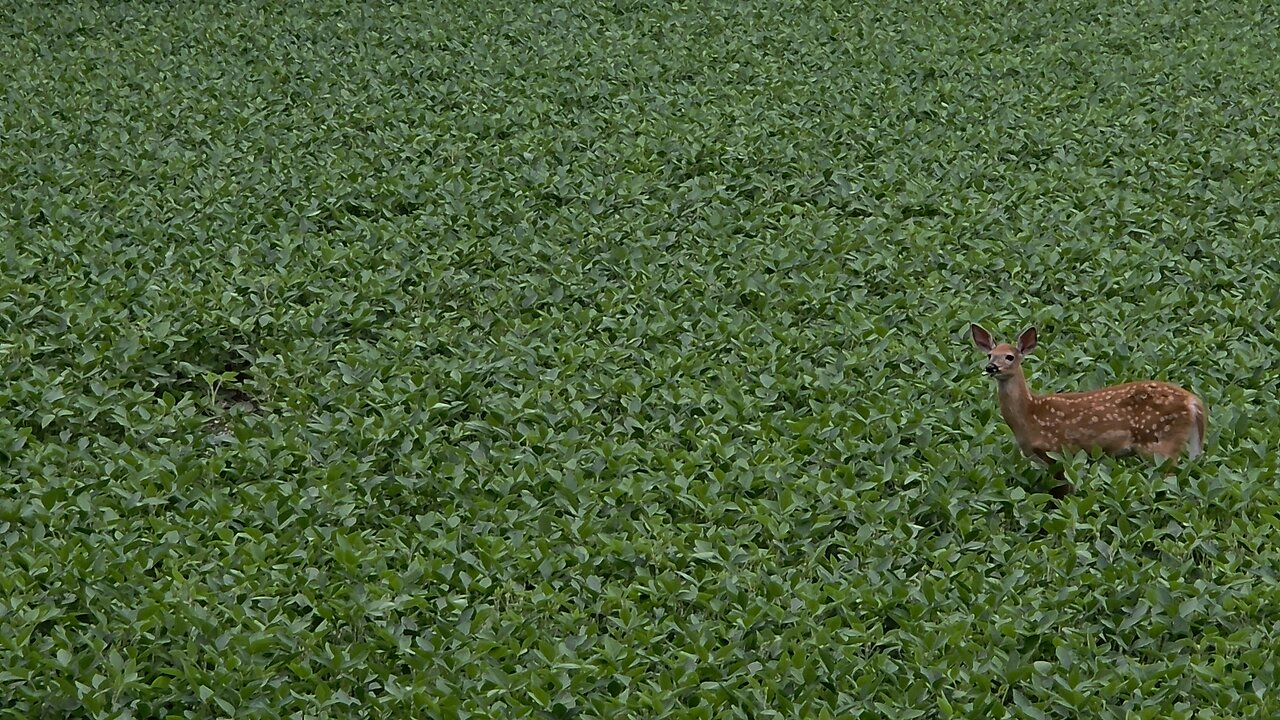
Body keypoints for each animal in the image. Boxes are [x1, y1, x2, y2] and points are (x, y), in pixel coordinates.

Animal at [970, 324, 1206, 498]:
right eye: (990, 354)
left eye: (1010, 357)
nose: (991, 368)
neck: (1030, 416)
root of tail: (1193, 402)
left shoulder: (1058, 452)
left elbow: (1065, 495)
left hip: (1160, 443)